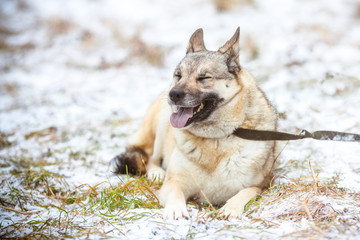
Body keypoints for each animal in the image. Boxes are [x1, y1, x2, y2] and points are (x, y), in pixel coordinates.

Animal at [111, 27, 278, 219]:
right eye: (178, 75)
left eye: (204, 78)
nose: (173, 94)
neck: (215, 139)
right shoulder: (174, 182)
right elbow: (175, 193)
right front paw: (176, 209)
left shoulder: (259, 186)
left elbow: (245, 193)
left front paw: (231, 208)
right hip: (161, 125)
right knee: (150, 157)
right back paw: (156, 173)